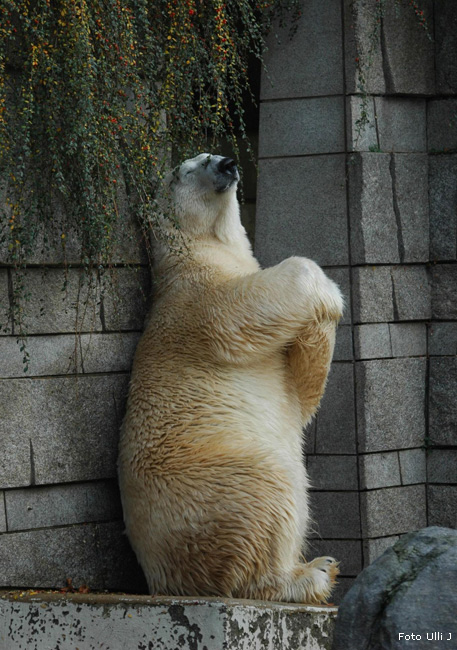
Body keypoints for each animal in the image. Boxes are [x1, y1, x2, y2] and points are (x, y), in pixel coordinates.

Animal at [117, 152, 342, 604]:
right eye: (187, 169)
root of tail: (163, 580)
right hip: (220, 481)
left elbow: (303, 390)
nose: (227, 163)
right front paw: (329, 289)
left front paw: (325, 312)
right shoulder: (200, 304)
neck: (198, 250)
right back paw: (311, 573)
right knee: (271, 491)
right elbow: (246, 307)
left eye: (209, 152)